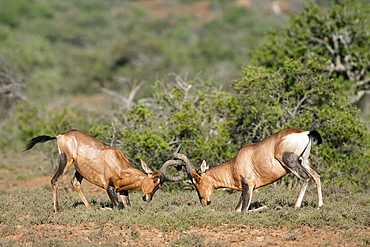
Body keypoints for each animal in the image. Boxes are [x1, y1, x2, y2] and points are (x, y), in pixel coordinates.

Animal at [23, 129, 183, 212]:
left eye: (160, 185)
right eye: (154, 179)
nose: (147, 198)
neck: (116, 160)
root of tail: (61, 135)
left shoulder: (123, 191)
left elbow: (127, 206)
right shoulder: (109, 187)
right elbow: (118, 206)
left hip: (80, 169)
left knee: (75, 183)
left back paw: (90, 207)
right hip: (66, 160)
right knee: (55, 180)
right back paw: (57, 209)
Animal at [173, 128, 320, 211]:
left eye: (196, 179)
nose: (204, 202)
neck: (236, 162)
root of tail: (305, 133)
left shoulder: (248, 186)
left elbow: (244, 211)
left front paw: (268, 207)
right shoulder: (244, 189)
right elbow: (237, 210)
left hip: (290, 161)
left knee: (305, 178)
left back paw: (296, 206)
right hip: (304, 159)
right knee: (316, 176)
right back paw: (319, 205)